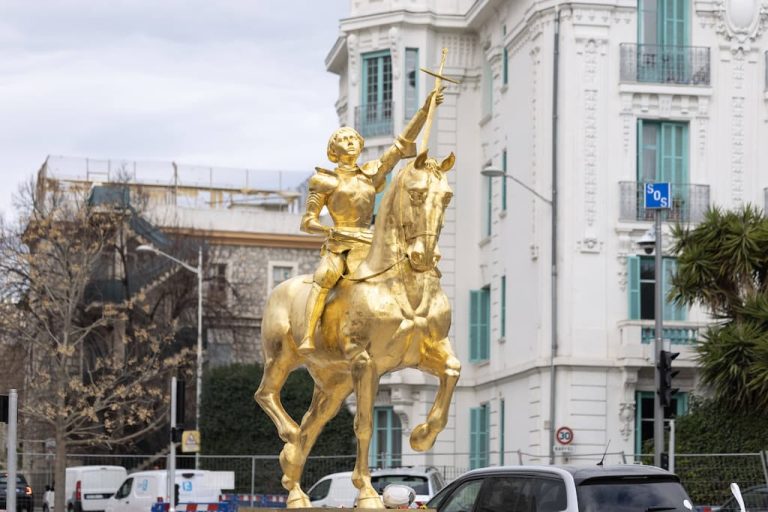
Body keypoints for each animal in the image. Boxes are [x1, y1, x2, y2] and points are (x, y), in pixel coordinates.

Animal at [256, 150, 462, 506]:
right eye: (416, 194)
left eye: (446, 197)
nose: (425, 256)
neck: (401, 283)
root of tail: (279, 289)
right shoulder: (365, 362)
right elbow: (363, 424)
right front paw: (366, 491)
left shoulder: (425, 352)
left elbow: (452, 371)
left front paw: (422, 436)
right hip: (281, 358)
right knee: (267, 395)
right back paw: (291, 440)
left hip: (333, 384)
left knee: (312, 424)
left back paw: (295, 484)